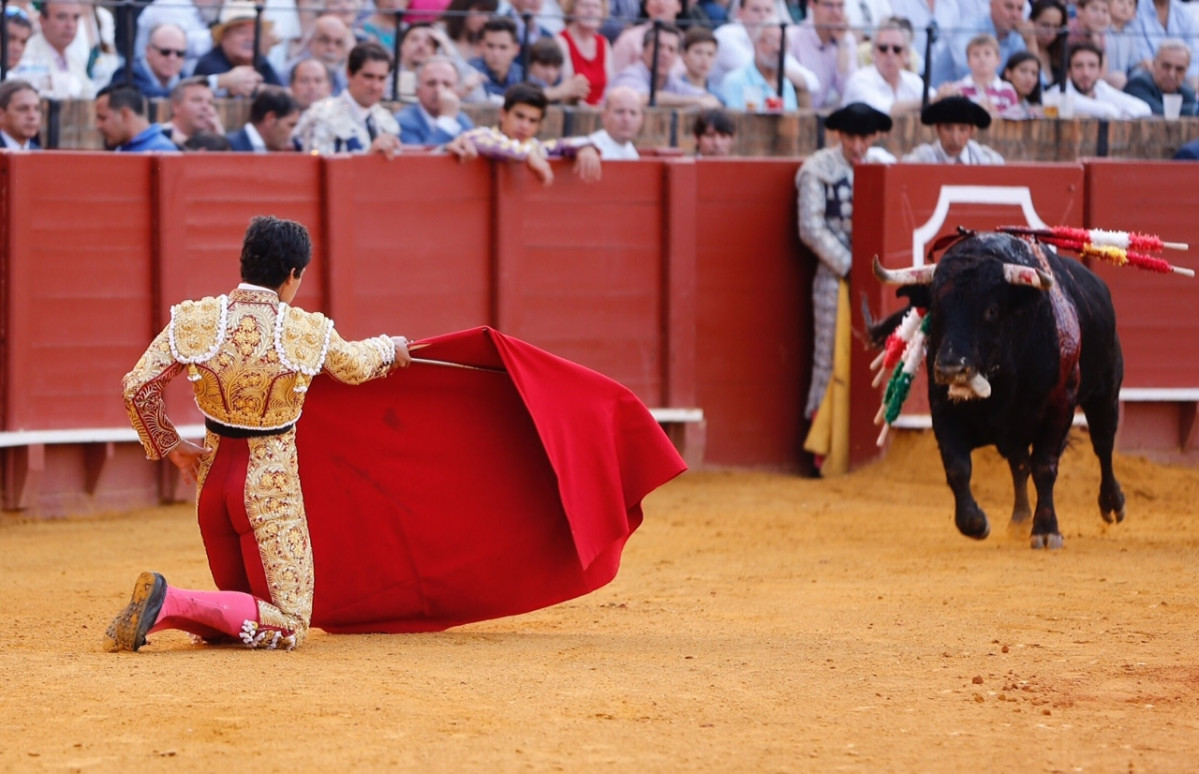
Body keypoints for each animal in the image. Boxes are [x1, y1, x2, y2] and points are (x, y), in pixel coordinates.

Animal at [872, 232, 1122, 551]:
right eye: (936, 309)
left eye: (991, 311)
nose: (951, 368)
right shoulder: (942, 408)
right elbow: (958, 467)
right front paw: (975, 522)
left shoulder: (1060, 407)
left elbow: (1045, 467)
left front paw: (1046, 530)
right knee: (1019, 464)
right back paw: (1019, 519)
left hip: (1106, 391)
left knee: (1103, 444)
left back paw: (1113, 504)